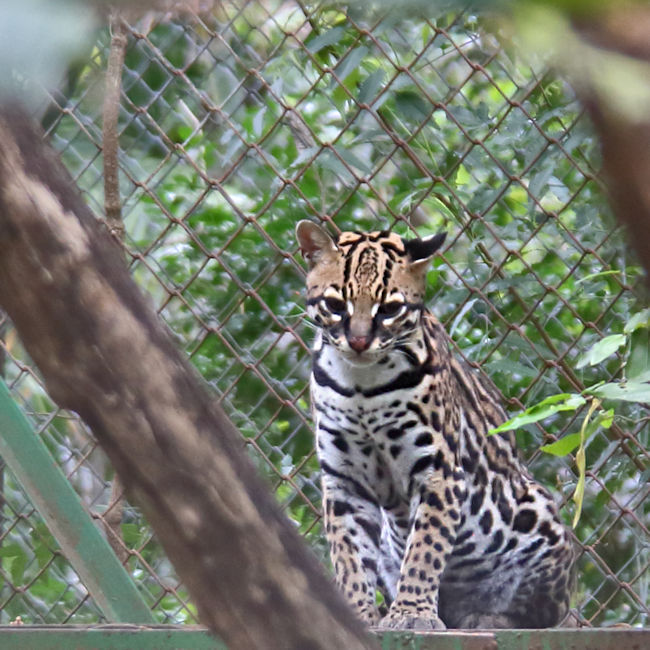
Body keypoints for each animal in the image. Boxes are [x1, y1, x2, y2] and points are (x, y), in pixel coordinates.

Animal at [294, 221, 572, 628]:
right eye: (335, 305)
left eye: (390, 309)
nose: (358, 342)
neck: (362, 384)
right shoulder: (344, 480)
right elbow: (349, 556)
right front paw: (358, 613)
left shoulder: (438, 472)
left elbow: (425, 549)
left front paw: (412, 613)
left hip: (536, 514)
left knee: (545, 613)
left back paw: (485, 618)